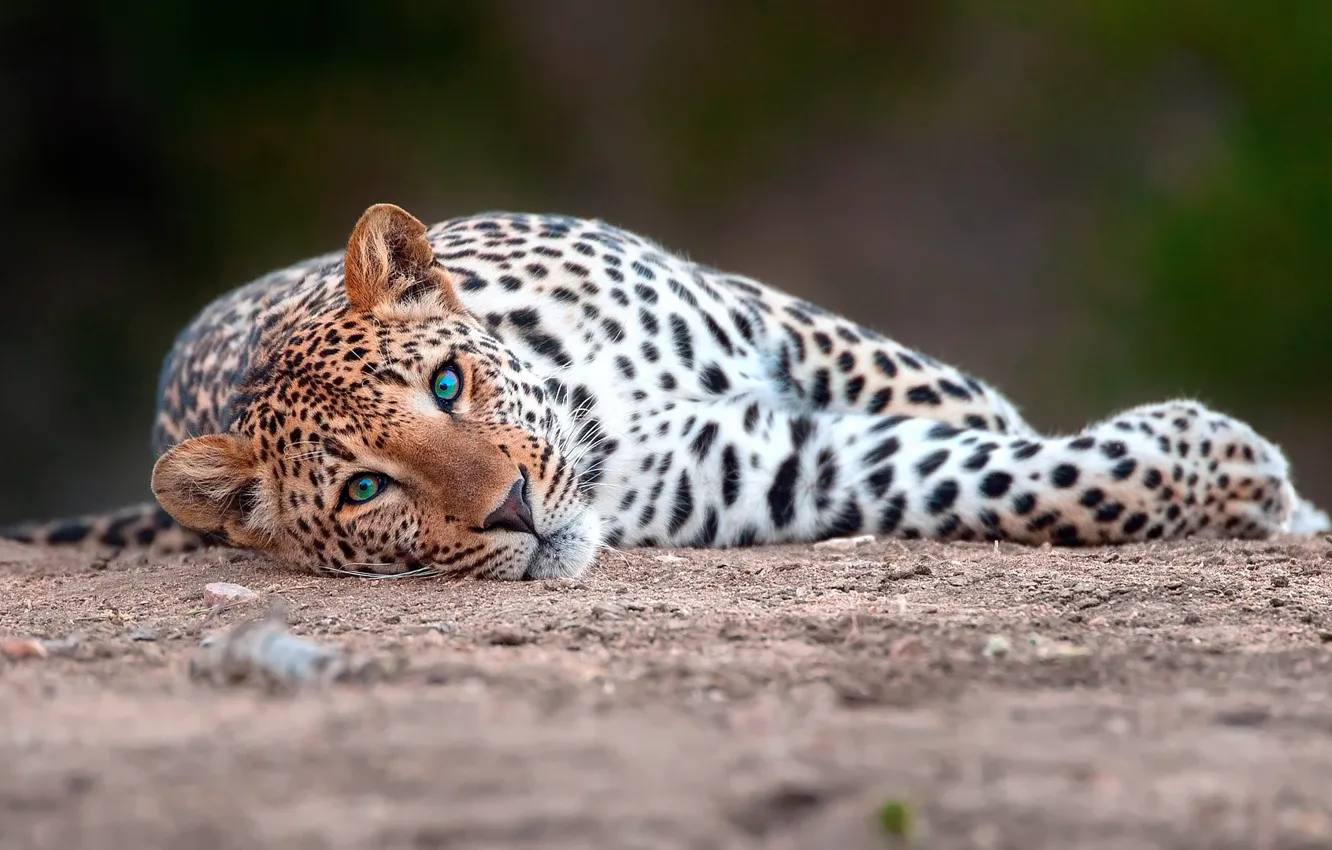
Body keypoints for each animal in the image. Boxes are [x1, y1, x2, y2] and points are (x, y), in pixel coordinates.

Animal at [4, 203, 1327, 579]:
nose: (512, 511)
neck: (593, 405)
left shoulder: (781, 325)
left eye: (448, 381)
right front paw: (1237, 472)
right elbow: (1019, 478)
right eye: (368, 490)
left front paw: (1274, 494)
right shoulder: (786, 474)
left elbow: (969, 414)